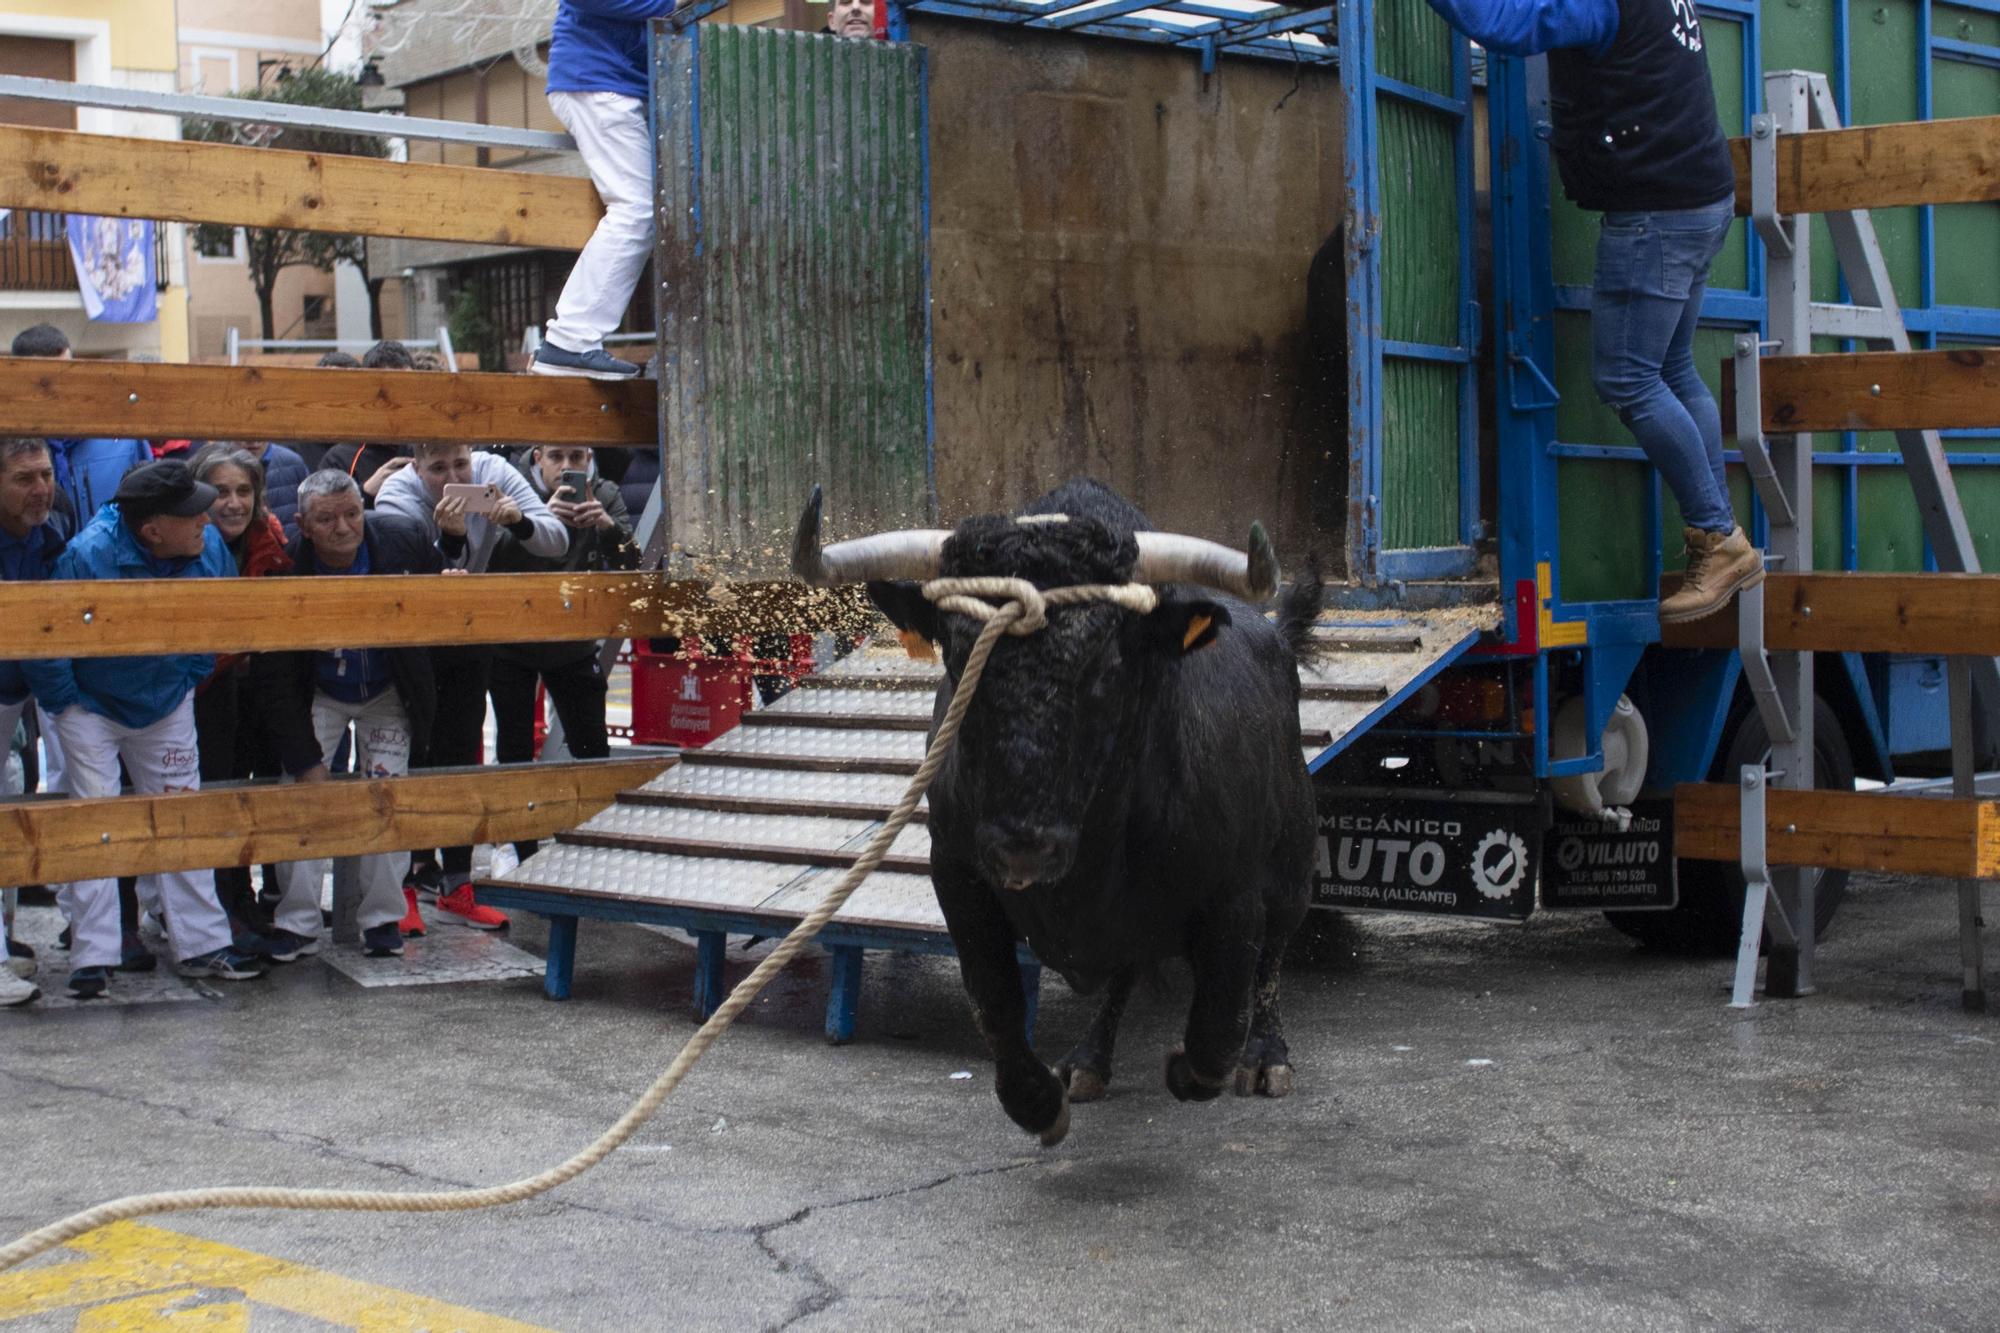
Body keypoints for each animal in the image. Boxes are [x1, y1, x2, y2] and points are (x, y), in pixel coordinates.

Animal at [788, 478, 1320, 1144]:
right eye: (957, 656)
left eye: (1109, 662)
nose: (1023, 845)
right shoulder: (958, 874)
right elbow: (995, 999)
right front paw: (1038, 1101)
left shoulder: (1235, 893)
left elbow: (1217, 1027)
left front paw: (1195, 1066)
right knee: (1126, 969)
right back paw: (1089, 1061)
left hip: (1294, 862)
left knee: (1273, 955)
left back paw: (1268, 1057)